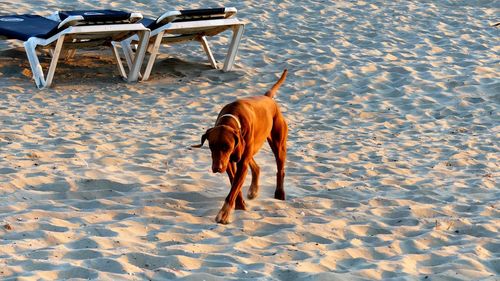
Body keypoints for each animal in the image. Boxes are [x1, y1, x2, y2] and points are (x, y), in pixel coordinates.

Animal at [195, 69, 290, 223]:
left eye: (226, 147)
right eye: (212, 146)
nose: (217, 168)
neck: (232, 118)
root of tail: (268, 97)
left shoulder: (238, 160)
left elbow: (233, 189)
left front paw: (224, 214)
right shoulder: (229, 161)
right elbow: (234, 184)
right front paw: (240, 205)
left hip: (278, 144)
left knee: (280, 169)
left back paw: (279, 194)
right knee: (256, 167)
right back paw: (253, 190)